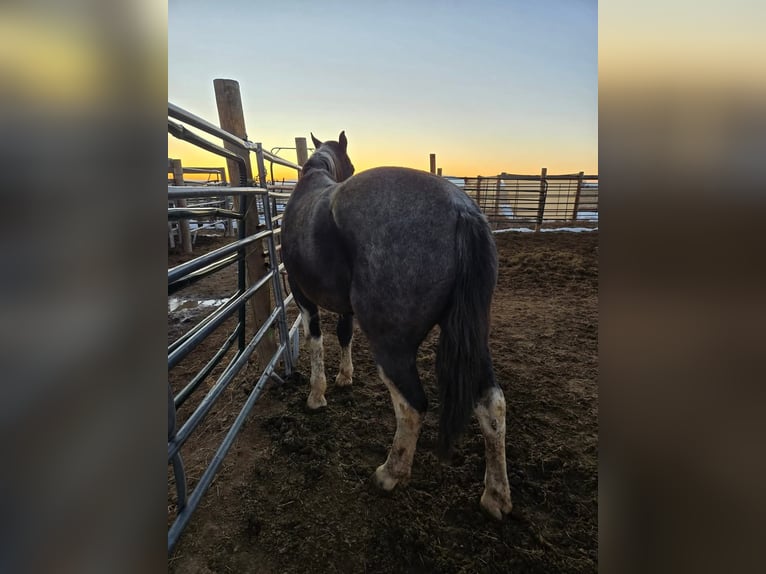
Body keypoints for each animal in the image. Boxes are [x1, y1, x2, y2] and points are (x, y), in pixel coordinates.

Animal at [284, 133, 516, 520]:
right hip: (473, 339)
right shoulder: (343, 307)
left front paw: (317, 395)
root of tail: (460, 210)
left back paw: (390, 474)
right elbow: (343, 336)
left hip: (393, 348)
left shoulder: (302, 295)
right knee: (492, 403)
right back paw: (495, 496)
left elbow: (316, 341)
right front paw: (345, 377)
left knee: (412, 406)